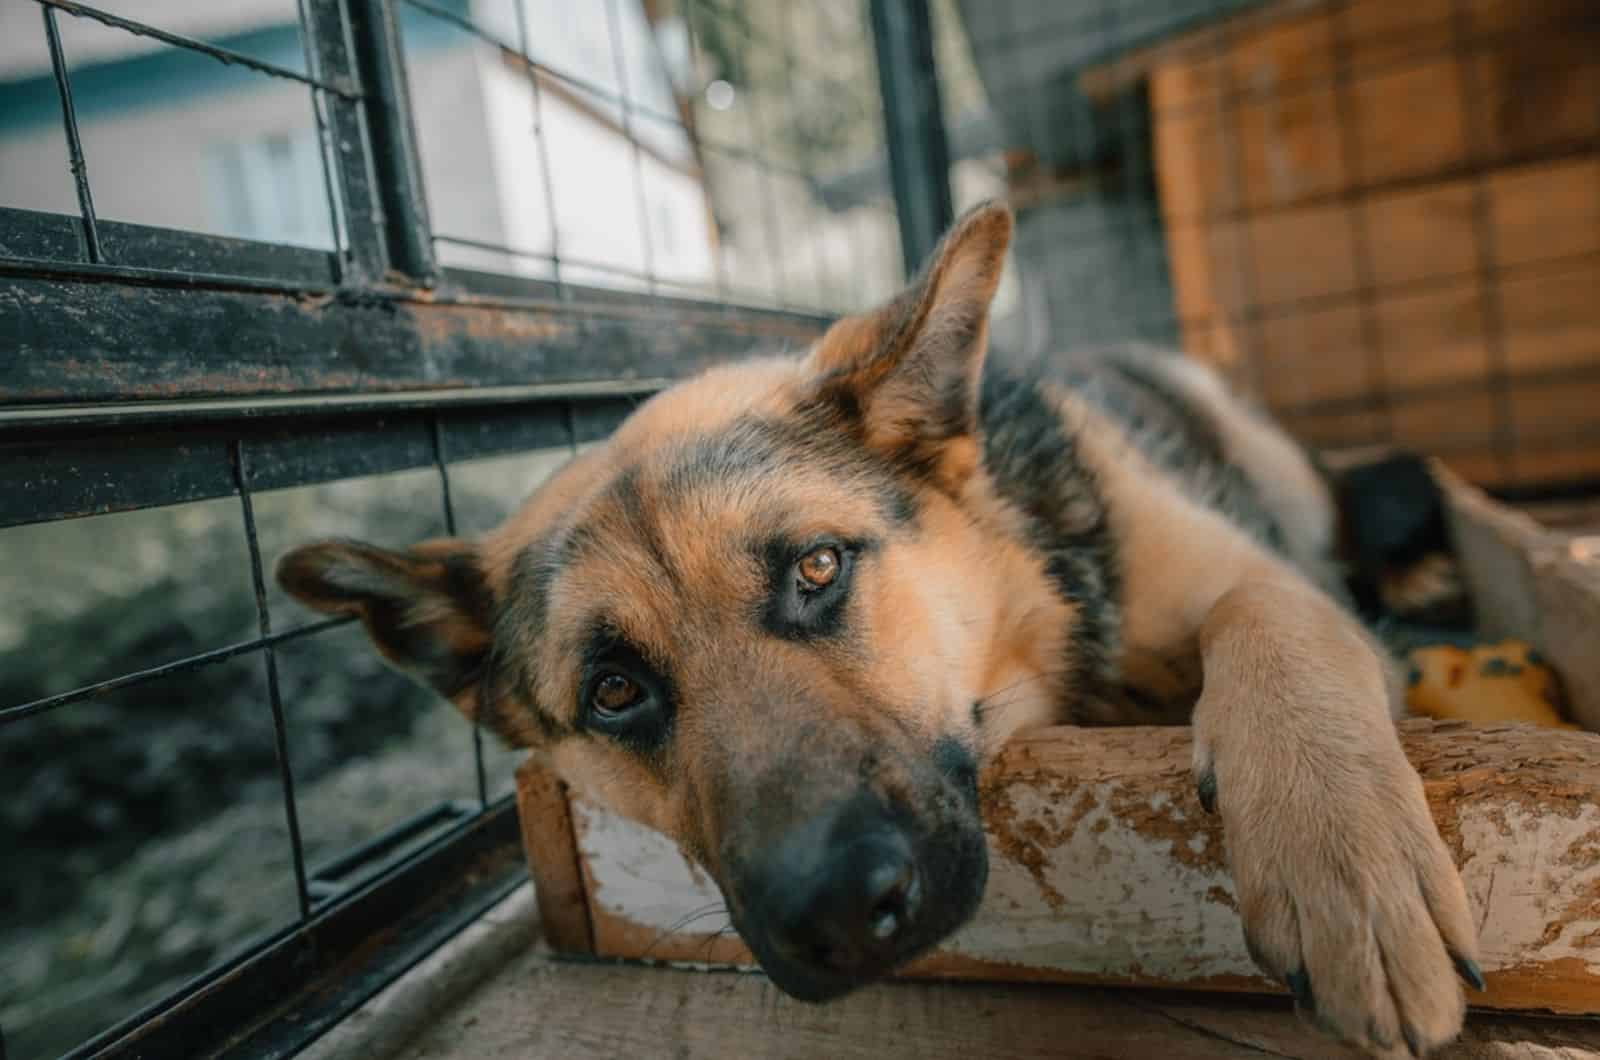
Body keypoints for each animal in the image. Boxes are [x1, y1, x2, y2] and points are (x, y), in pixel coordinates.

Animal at [281, 203, 1478, 1056]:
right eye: (616, 691)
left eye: (816, 568)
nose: (839, 916)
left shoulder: (1264, 584)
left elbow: (1272, 633)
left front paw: (1346, 872)